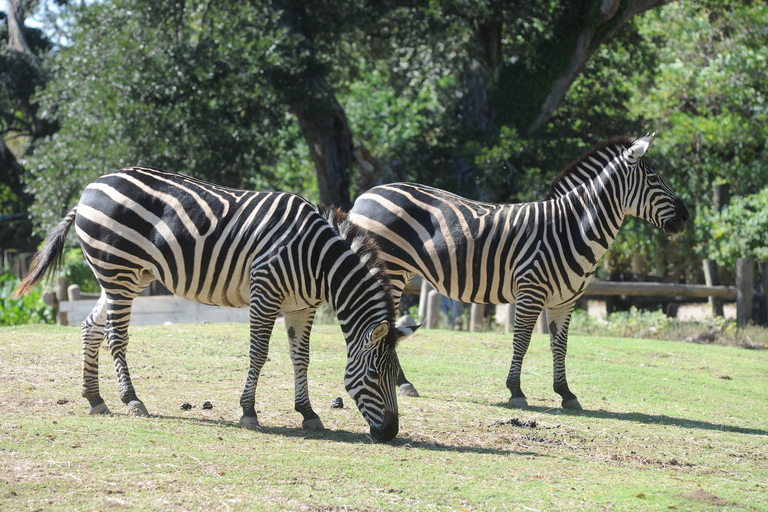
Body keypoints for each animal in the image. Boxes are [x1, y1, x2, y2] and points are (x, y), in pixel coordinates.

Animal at [13, 167, 414, 440]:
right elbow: (259, 354)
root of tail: (90, 188)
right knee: (115, 336)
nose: (390, 434)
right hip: (117, 271)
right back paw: (131, 400)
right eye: (375, 376)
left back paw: (94, 399)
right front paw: (248, 412)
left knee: (90, 327)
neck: (318, 262)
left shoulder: (301, 307)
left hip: (124, 277)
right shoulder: (265, 291)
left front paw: (308, 413)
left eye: (395, 377)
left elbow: (301, 358)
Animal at [348, 134, 688, 410]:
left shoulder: (566, 300)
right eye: (654, 178)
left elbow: (560, 345)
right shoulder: (531, 291)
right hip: (390, 269)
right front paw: (515, 391)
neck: (571, 228)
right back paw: (402, 382)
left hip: (401, 272)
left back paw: (401, 381)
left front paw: (566, 393)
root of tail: (366, 194)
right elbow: (522, 341)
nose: (686, 216)